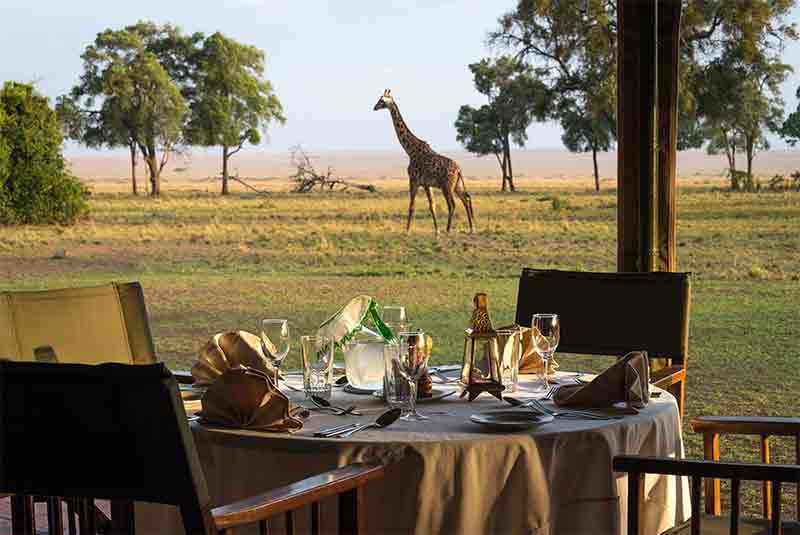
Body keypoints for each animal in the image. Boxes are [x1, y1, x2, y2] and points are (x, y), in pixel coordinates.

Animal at [373, 89, 474, 234]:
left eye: (382, 100)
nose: (374, 107)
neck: (410, 150)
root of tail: (459, 169)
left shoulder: (414, 180)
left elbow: (412, 206)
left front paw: (407, 231)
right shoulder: (427, 184)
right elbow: (432, 206)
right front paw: (436, 231)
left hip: (447, 186)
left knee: (452, 204)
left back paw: (448, 229)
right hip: (457, 185)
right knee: (466, 199)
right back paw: (471, 228)